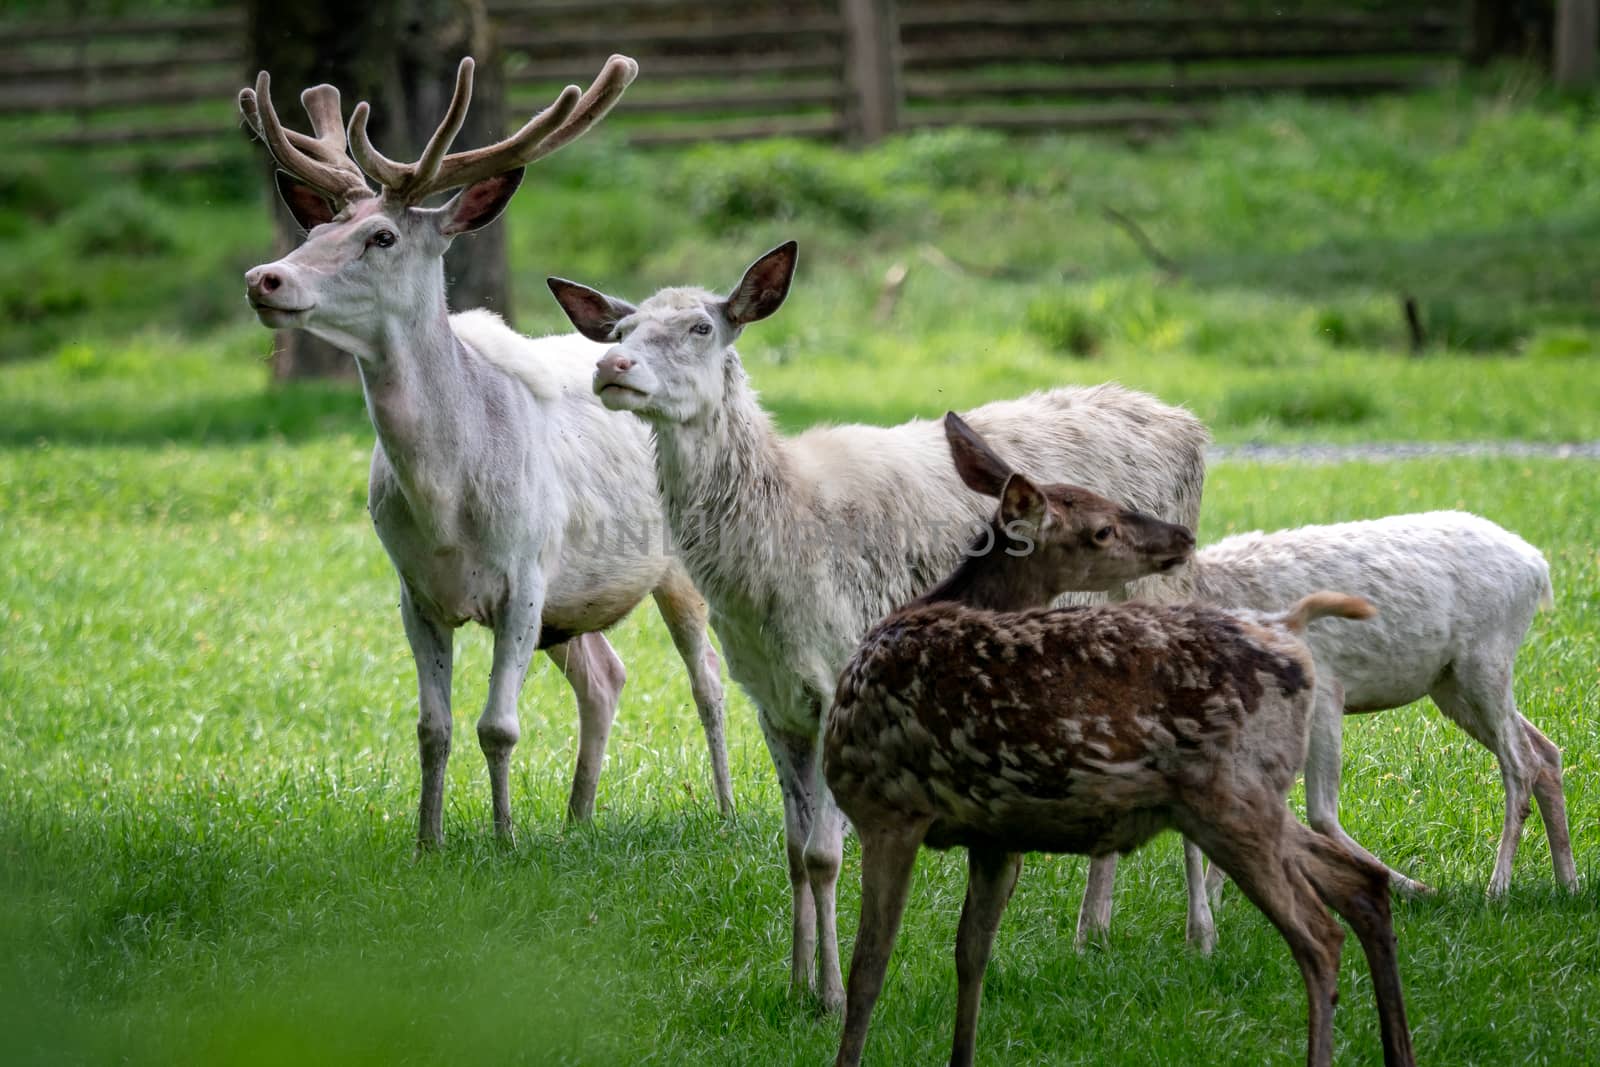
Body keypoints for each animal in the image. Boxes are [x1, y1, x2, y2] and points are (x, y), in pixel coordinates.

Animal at [236, 58, 736, 844]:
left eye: (381, 237)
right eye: (316, 226)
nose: (266, 277)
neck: (445, 505)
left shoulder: (526, 571)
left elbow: (498, 725)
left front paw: (503, 840)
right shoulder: (413, 590)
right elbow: (432, 728)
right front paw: (428, 842)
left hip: (672, 566)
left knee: (707, 676)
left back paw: (724, 807)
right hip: (574, 600)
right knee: (606, 674)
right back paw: (577, 816)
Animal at [825, 412, 1414, 1067]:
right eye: (1102, 527)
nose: (1181, 535)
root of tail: (1289, 633)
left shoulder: (886, 807)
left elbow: (869, 970)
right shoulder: (994, 835)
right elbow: (970, 956)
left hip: (1229, 796)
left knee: (1319, 934)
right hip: (1243, 797)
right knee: (1362, 885)